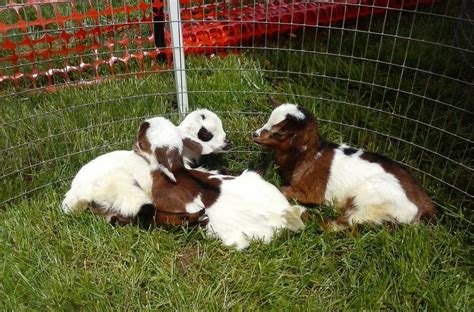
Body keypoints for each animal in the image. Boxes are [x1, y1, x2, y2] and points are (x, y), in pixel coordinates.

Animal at [60, 108, 231, 225]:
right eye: (206, 134)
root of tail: (76, 193)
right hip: (121, 187)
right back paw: (193, 219)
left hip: (106, 205)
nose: (228, 142)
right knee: (145, 213)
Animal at [254, 98, 436, 230]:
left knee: (343, 224)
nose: (254, 134)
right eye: (267, 121)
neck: (311, 157)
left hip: (370, 199)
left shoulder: (312, 191)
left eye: (280, 133)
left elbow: (282, 190)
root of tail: (424, 206)